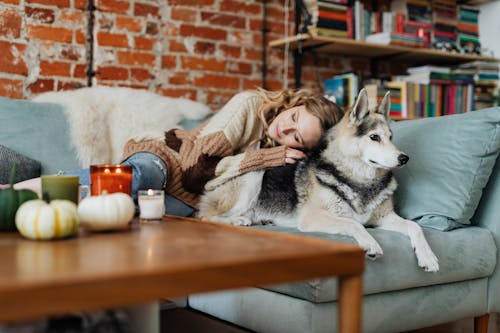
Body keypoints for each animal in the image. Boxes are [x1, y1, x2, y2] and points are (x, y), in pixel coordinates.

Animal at [197, 89, 440, 272]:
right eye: (374, 137)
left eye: (391, 137)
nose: (404, 158)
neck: (359, 179)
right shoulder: (314, 217)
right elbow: (353, 223)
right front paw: (370, 243)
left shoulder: (384, 218)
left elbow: (415, 227)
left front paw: (428, 256)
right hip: (254, 176)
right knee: (206, 217)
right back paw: (238, 220)